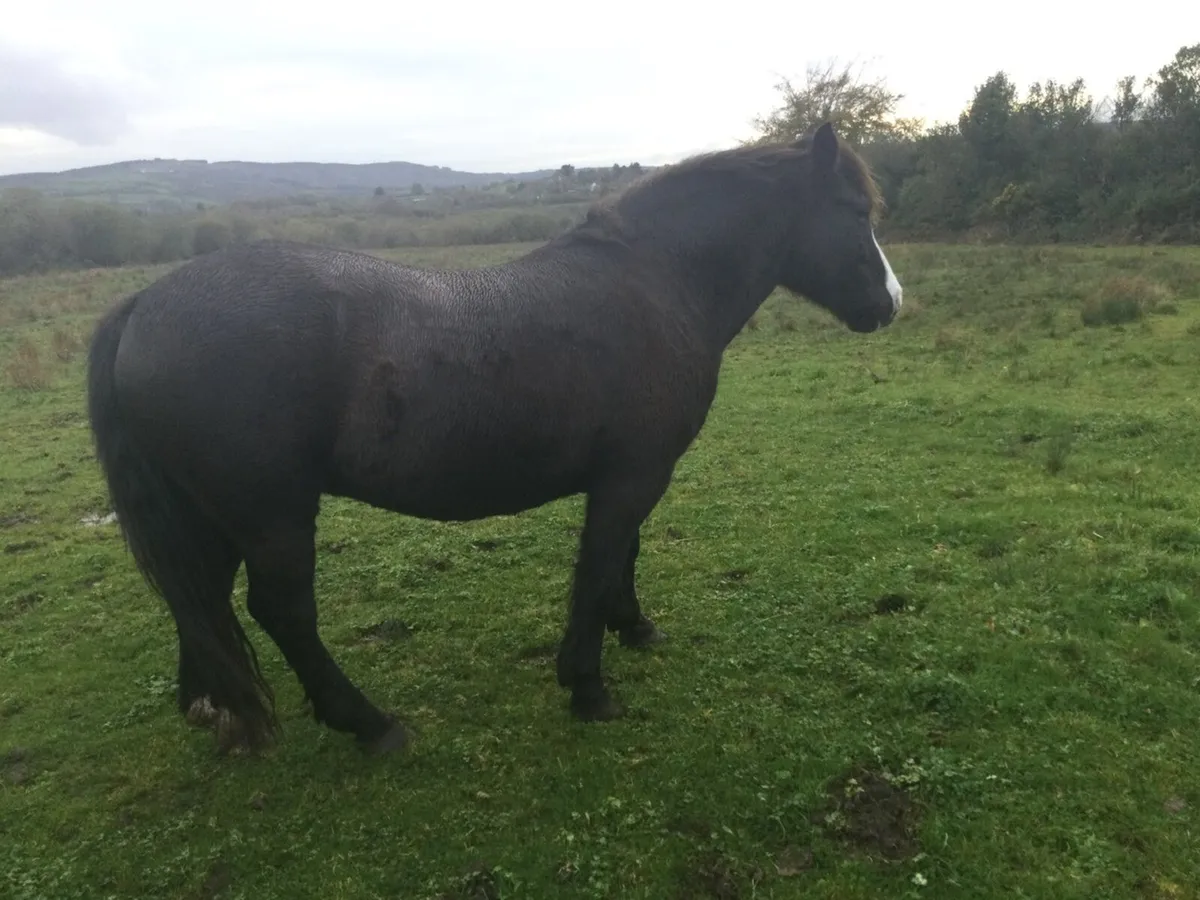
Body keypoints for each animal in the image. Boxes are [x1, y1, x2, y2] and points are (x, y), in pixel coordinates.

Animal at [86, 122, 903, 756]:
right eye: (852, 208)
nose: (890, 303)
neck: (656, 284)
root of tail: (145, 304)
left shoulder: (630, 473)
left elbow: (624, 556)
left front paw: (635, 628)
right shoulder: (632, 476)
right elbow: (599, 562)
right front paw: (588, 685)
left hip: (213, 515)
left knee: (200, 597)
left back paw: (214, 706)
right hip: (273, 517)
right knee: (280, 613)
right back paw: (368, 724)